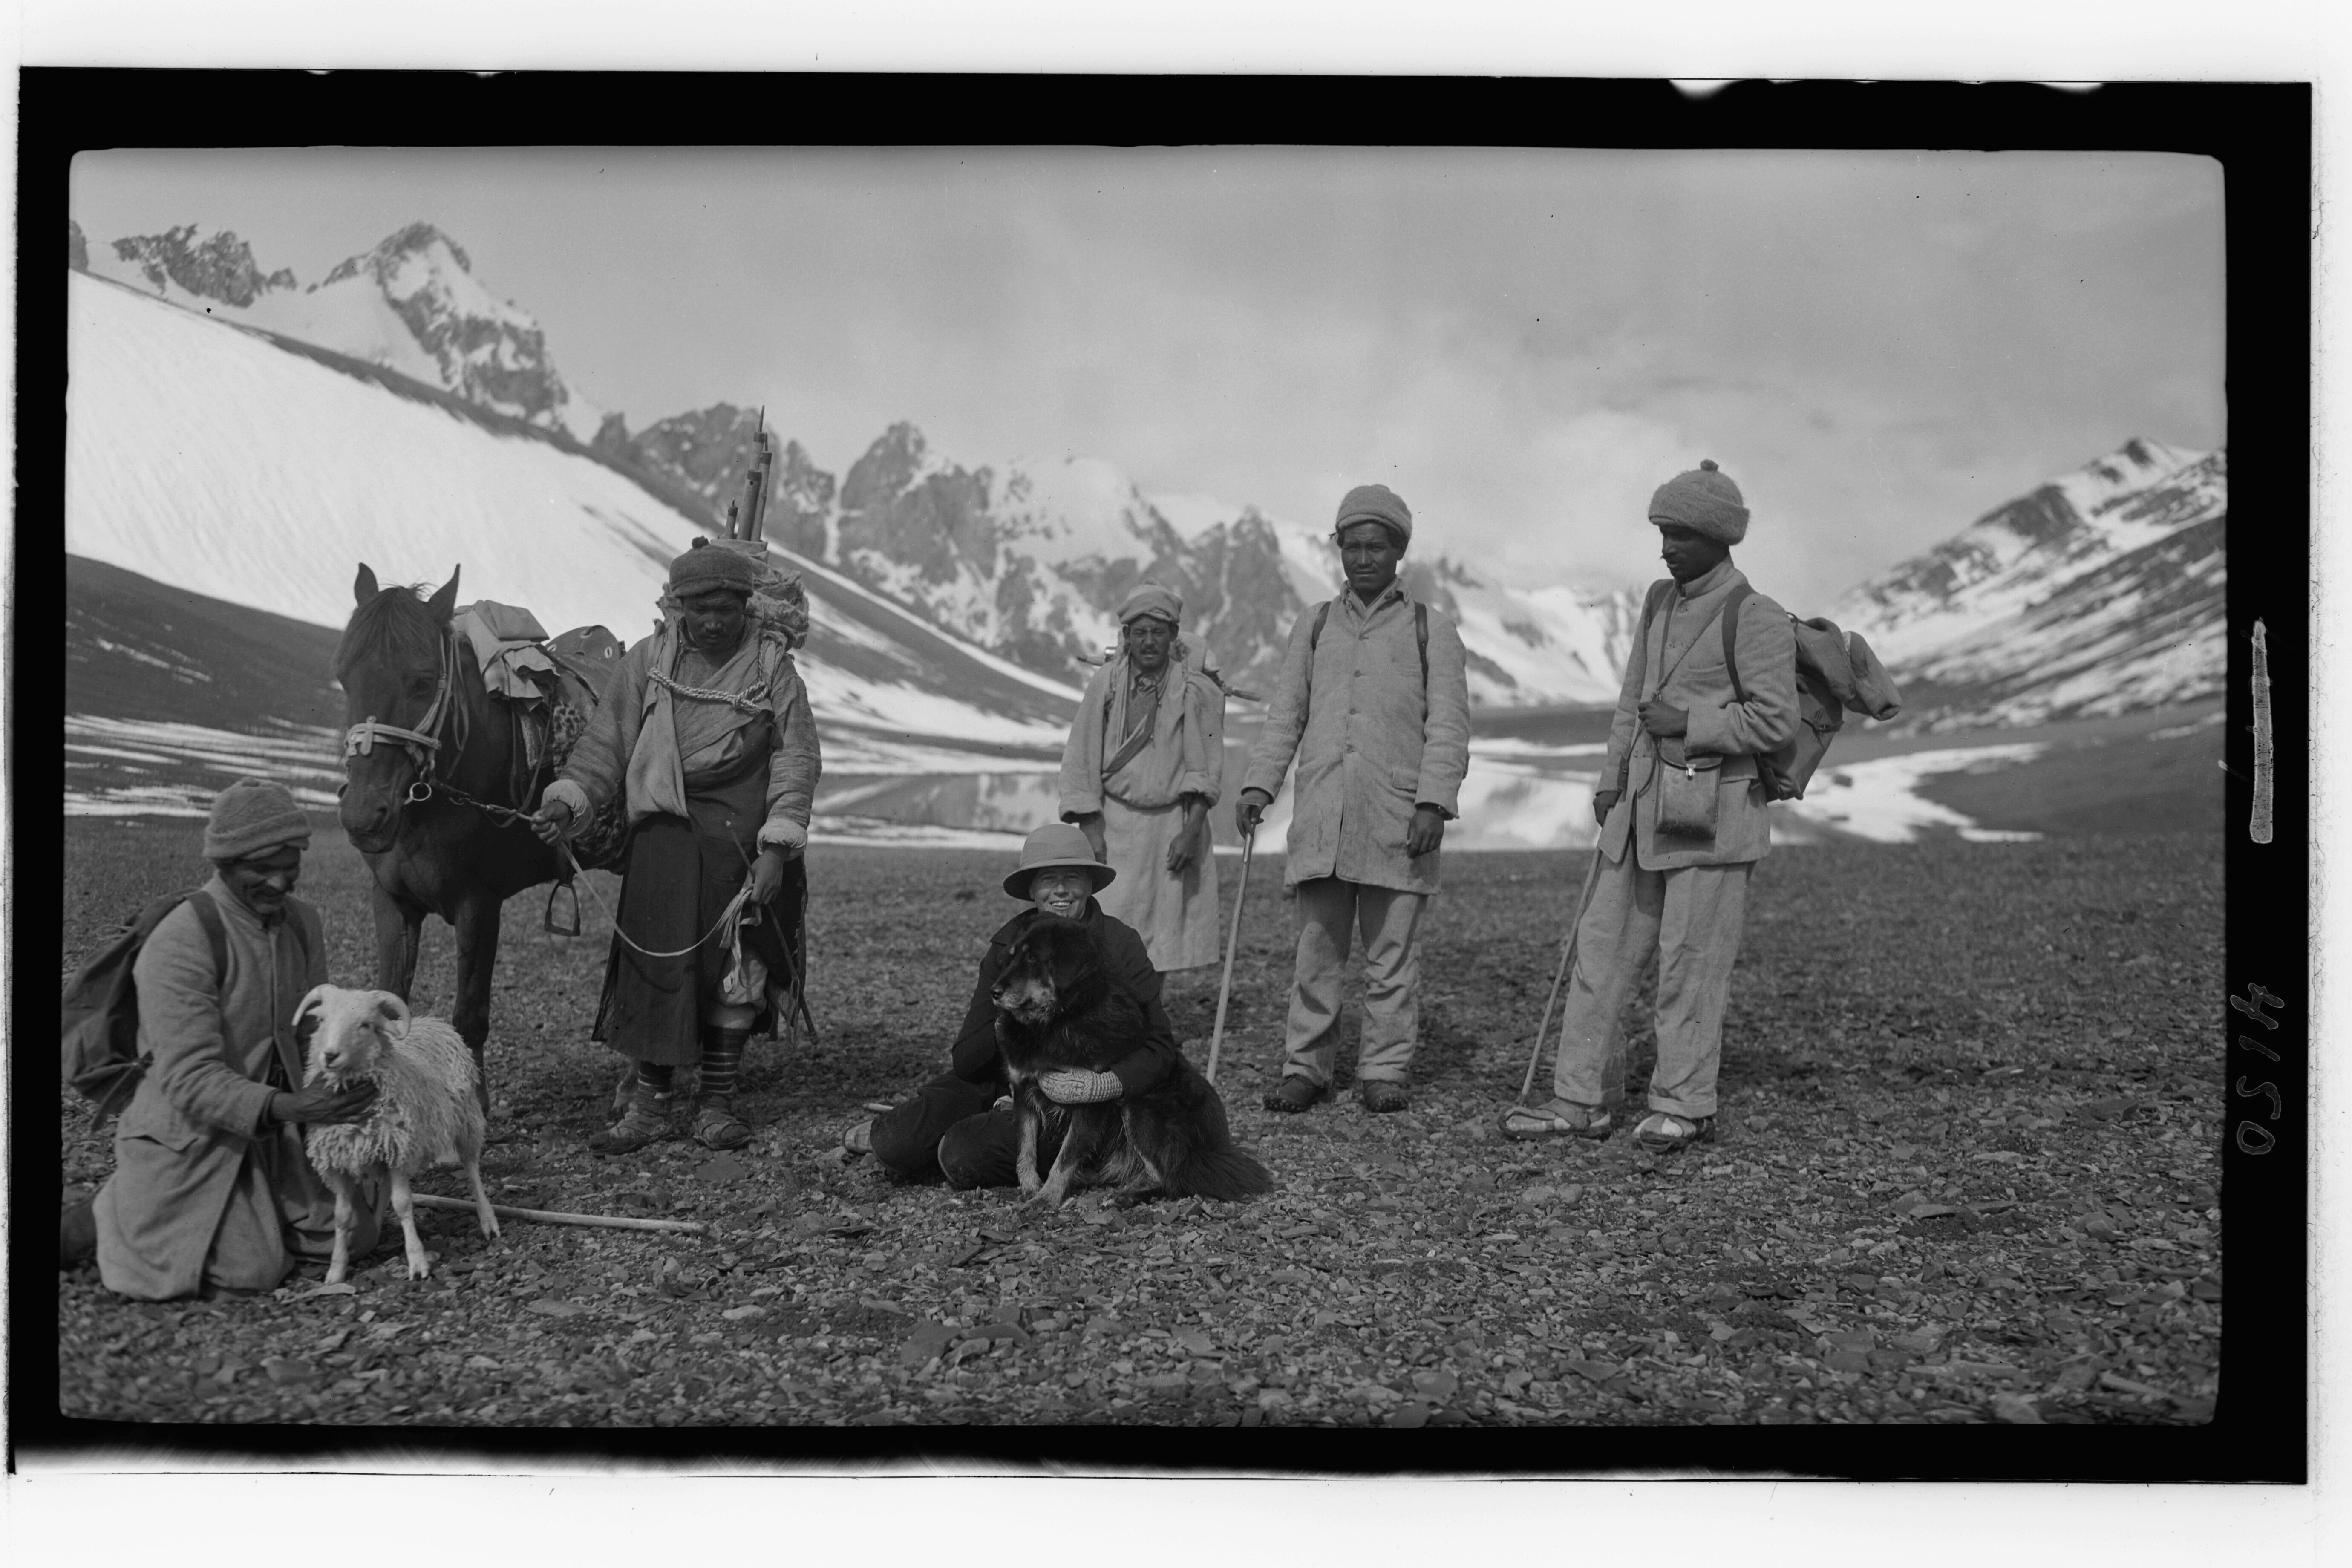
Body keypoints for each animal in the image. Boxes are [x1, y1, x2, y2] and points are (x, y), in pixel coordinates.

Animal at [991, 916, 1274, 1210]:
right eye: (1011, 957)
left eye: (1033, 959)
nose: (994, 992)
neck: (1057, 1022)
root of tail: (1210, 1148)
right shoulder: (1023, 1088)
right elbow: (1025, 1148)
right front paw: (1030, 1187)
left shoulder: (1087, 1104)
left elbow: (1066, 1157)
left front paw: (1046, 1198)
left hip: (1138, 1106)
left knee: (1168, 1176)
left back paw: (1122, 1196)